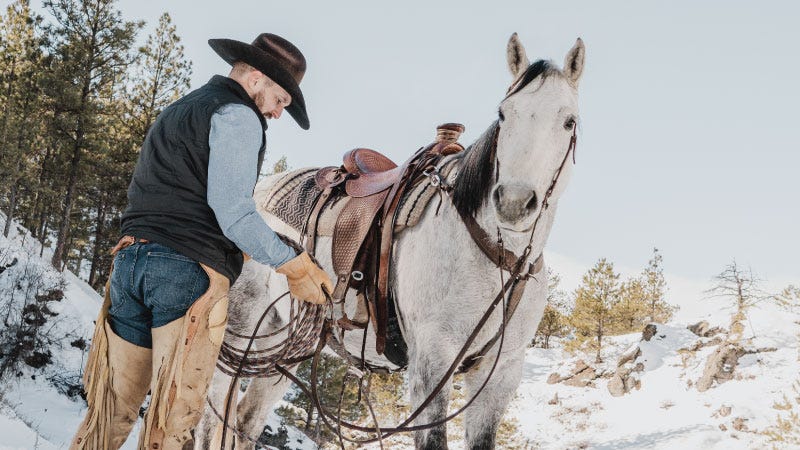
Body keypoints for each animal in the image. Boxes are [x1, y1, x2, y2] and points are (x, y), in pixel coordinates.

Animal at [197, 34, 584, 450]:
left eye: (569, 121)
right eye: (503, 115)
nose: (513, 202)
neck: (495, 257)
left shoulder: (499, 377)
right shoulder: (432, 364)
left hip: (285, 345)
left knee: (246, 421)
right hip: (236, 336)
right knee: (210, 420)